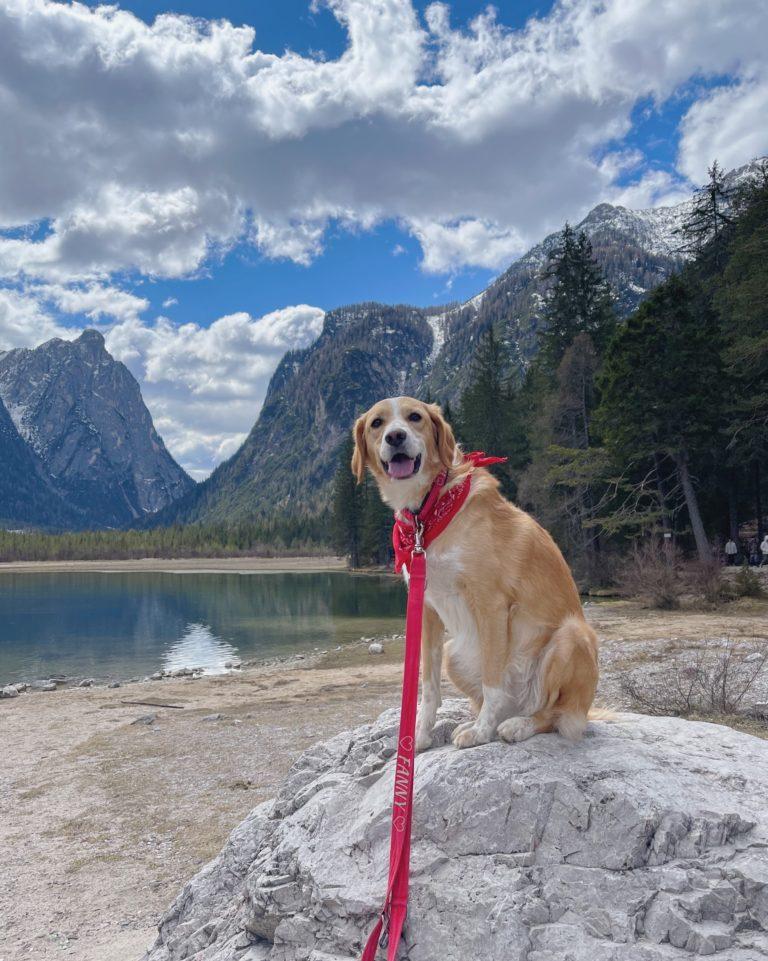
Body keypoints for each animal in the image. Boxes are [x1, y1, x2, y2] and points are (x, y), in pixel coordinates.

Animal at [352, 394, 600, 748]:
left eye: (415, 417)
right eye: (377, 423)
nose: (395, 437)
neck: (430, 510)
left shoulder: (491, 605)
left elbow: (492, 681)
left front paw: (482, 733)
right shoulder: (427, 609)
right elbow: (428, 686)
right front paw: (419, 736)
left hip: (572, 636)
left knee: (553, 714)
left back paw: (517, 725)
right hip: (453, 653)